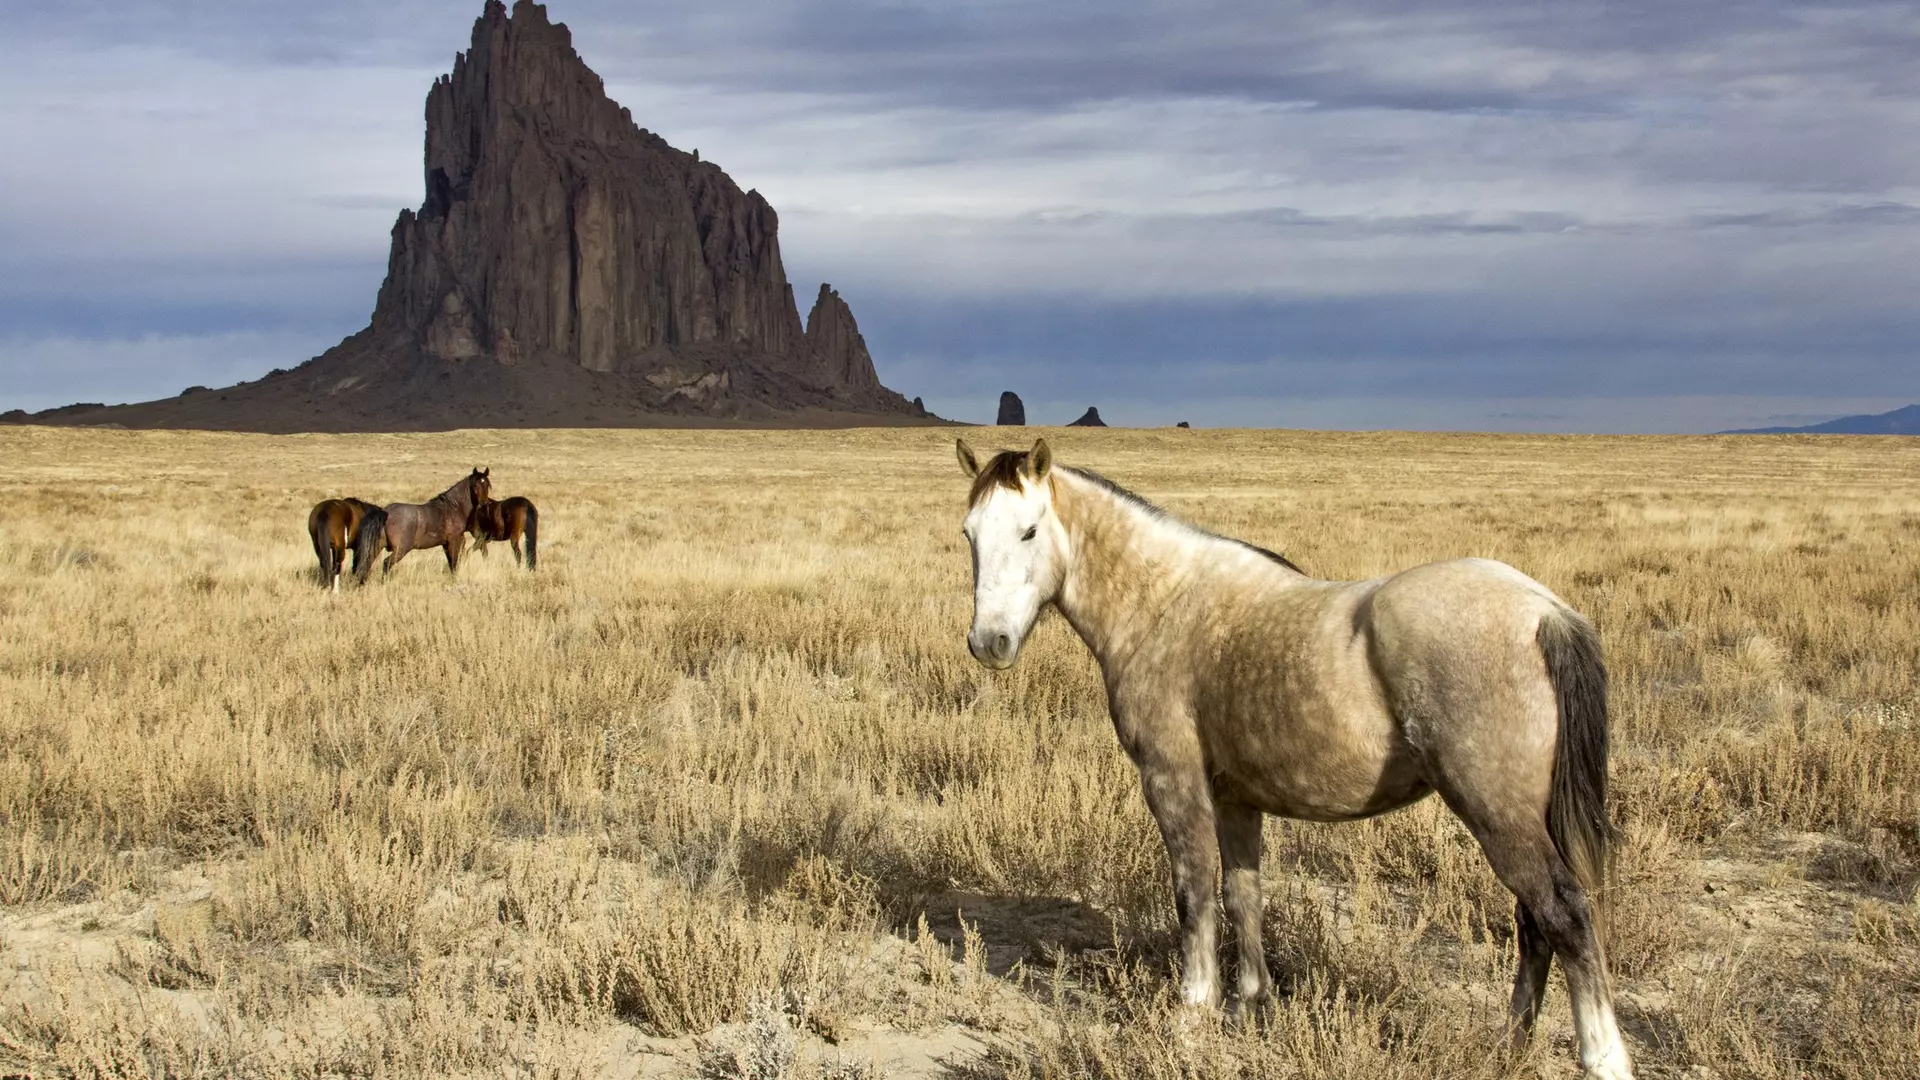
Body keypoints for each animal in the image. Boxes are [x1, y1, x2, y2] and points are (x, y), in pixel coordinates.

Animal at [352, 468, 490, 583]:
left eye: (487, 485)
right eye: (475, 485)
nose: (483, 505)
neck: (453, 508)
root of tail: (386, 512)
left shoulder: (445, 544)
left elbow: (451, 563)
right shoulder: (454, 541)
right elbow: (454, 562)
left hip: (377, 545)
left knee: (366, 564)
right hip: (402, 549)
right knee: (386, 563)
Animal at [955, 439, 1633, 1080]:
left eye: (1029, 530)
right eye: (969, 534)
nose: (990, 642)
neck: (1165, 604)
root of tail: (1544, 609)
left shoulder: (1174, 784)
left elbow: (1193, 894)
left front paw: (1192, 1015)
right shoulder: (1235, 799)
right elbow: (1243, 895)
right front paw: (1249, 1005)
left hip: (1496, 813)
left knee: (1564, 914)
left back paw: (1602, 1058)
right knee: (1534, 923)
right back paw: (1509, 1046)